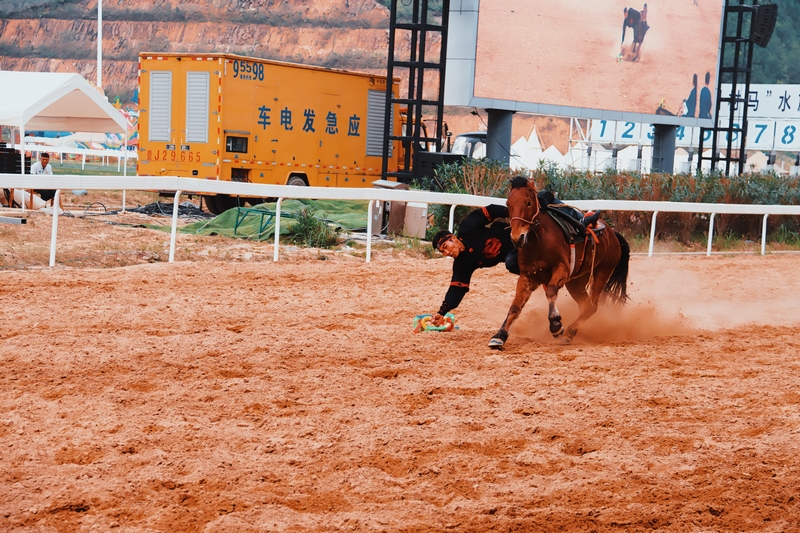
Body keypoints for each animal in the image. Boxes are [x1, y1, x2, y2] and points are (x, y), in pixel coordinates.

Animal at [488, 177, 632, 348]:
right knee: (585, 305)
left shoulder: (562, 270)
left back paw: (569, 332)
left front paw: (556, 325)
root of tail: (613, 234)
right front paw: (500, 335)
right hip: (576, 282)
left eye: (528, 203)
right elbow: (515, 306)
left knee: (591, 306)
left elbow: (551, 291)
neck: (539, 241)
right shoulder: (527, 276)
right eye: (508, 204)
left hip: (602, 272)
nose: (517, 238)